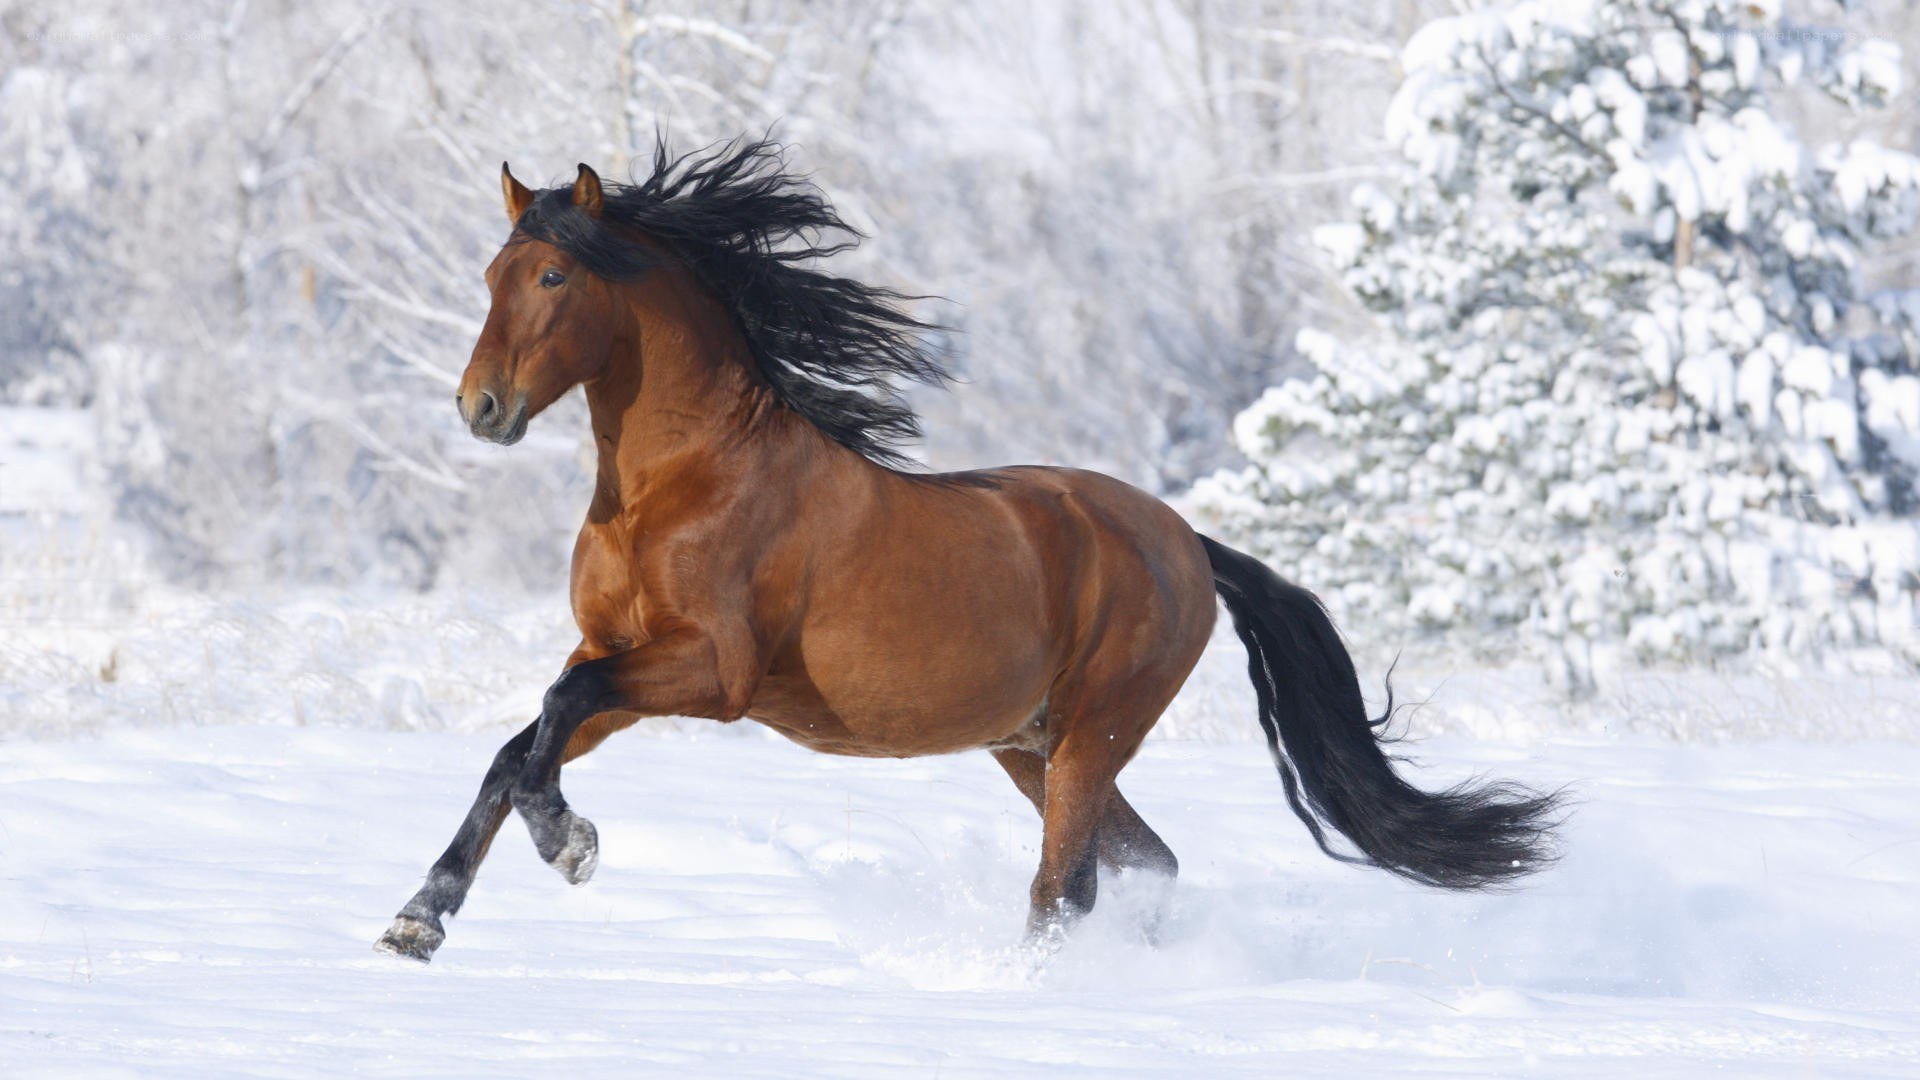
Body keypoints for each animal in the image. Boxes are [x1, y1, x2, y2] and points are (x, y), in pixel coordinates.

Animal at [374, 139, 1561, 963]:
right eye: (491, 274)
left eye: (554, 281)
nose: (480, 408)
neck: (683, 483)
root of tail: (1184, 539)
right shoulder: (614, 656)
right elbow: (519, 746)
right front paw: (420, 918)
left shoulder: (709, 673)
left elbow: (548, 722)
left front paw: (570, 845)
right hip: (1029, 746)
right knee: (1144, 863)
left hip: (1092, 736)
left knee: (1064, 887)